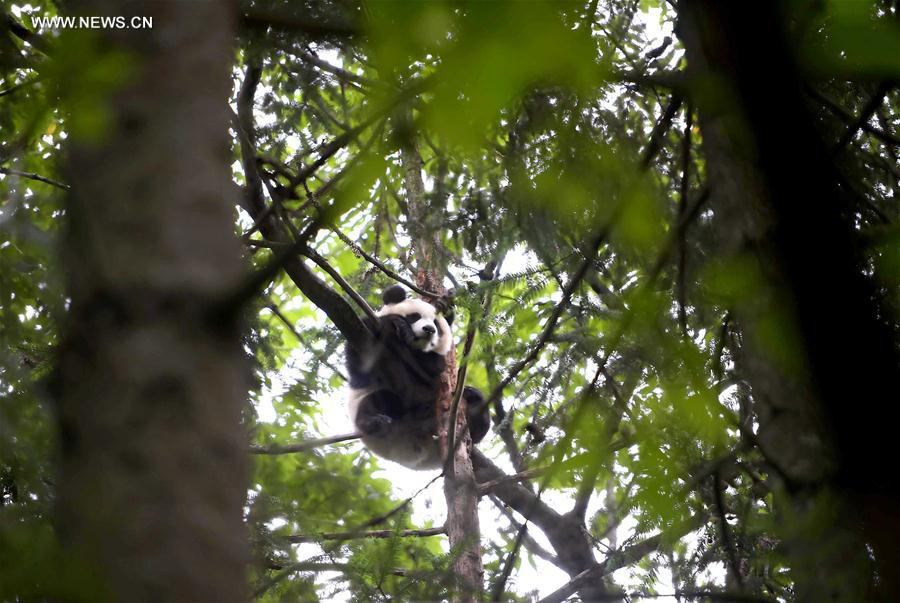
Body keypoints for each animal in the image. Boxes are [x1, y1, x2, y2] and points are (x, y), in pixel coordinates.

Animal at [346, 286, 488, 470]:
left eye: (436, 324)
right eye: (415, 316)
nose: (429, 330)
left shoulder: (433, 363)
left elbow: (431, 369)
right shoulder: (365, 334)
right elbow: (360, 365)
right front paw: (398, 324)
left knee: (476, 416)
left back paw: (473, 400)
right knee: (380, 399)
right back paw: (373, 421)